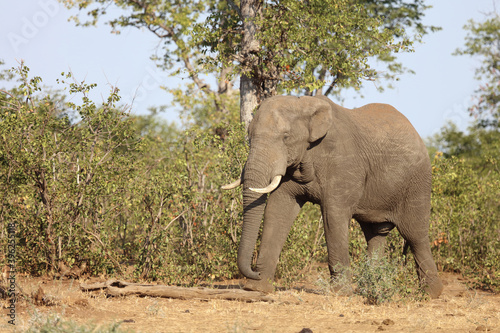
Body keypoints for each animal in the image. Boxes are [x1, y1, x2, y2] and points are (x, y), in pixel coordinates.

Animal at [225, 94, 444, 298]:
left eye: (286, 137)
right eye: (249, 137)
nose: (253, 273)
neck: (303, 105)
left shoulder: (343, 162)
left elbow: (333, 215)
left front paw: (340, 293)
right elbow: (278, 210)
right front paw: (258, 288)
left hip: (417, 183)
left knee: (415, 234)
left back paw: (430, 294)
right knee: (375, 234)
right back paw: (371, 289)